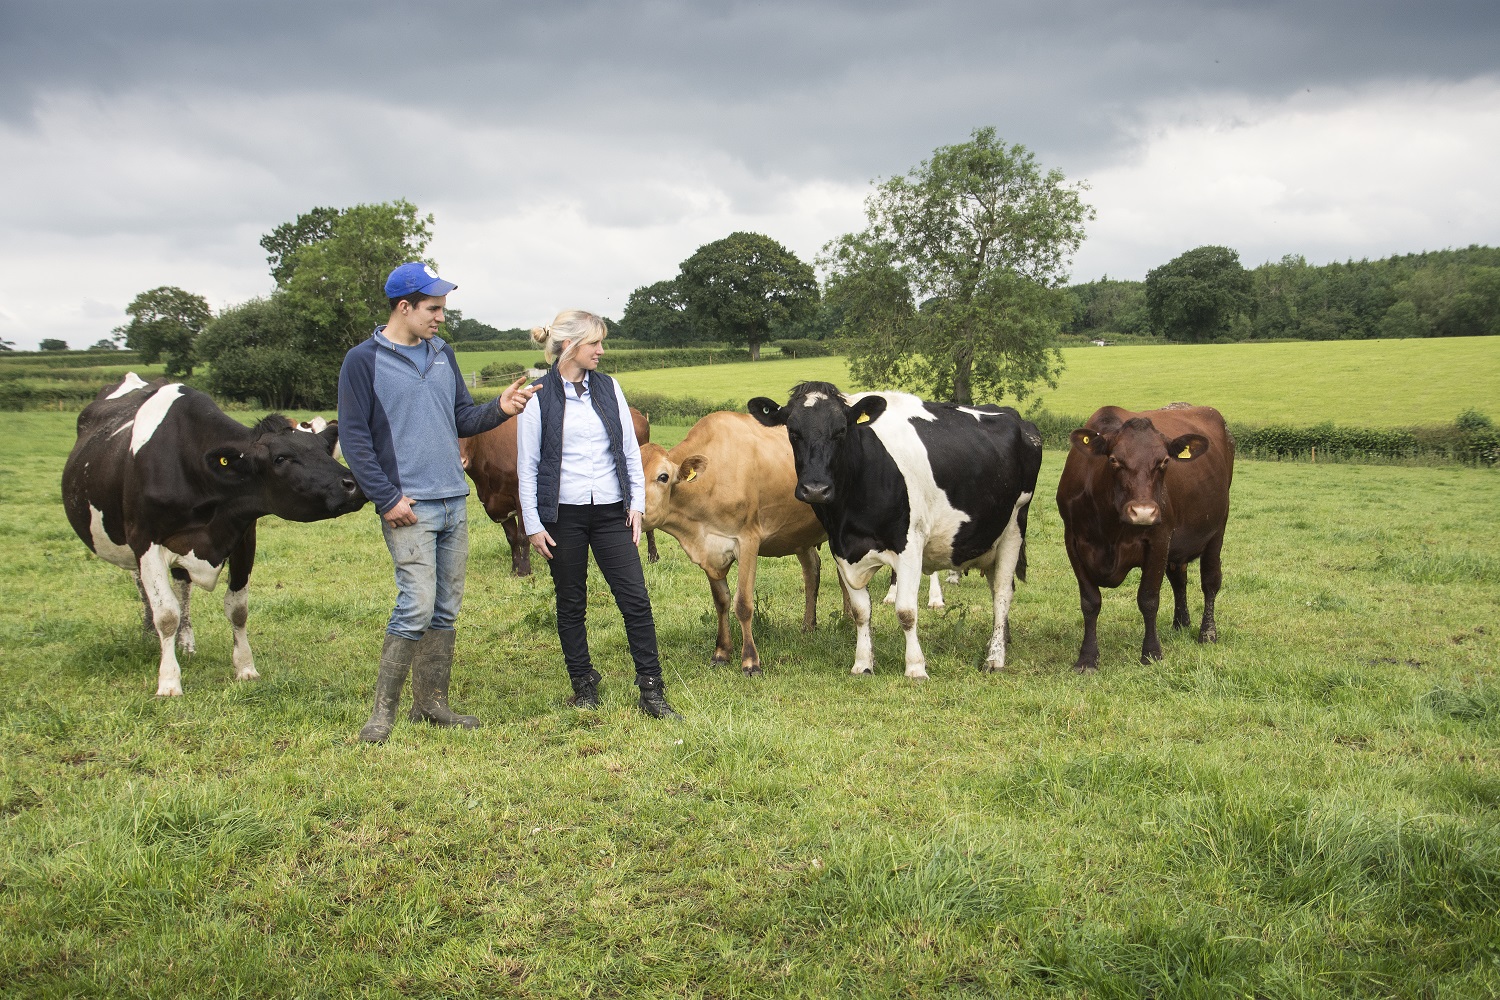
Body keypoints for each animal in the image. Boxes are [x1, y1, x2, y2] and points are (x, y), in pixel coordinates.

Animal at [60, 373, 366, 695]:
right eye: (281, 458)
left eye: (324, 449)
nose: (353, 484)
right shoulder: (145, 539)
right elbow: (165, 614)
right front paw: (168, 681)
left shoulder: (244, 536)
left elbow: (237, 609)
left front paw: (245, 668)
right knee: (143, 587)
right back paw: (149, 635)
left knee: (182, 587)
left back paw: (186, 643)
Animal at [456, 401, 657, 569]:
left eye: (471, 434)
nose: (461, 461)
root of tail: (636, 412)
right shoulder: (497, 504)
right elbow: (511, 538)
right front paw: (515, 569)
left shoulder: (521, 499)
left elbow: (522, 537)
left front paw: (524, 570)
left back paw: (652, 556)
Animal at [642, 410, 834, 677]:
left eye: (663, 477)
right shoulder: (710, 549)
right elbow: (721, 601)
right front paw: (721, 653)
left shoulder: (748, 539)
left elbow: (743, 604)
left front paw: (750, 661)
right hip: (800, 535)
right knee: (813, 572)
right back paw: (810, 625)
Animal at [750, 383, 1044, 680]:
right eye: (792, 432)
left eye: (841, 430)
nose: (815, 489)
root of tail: (1015, 417)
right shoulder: (842, 549)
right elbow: (860, 611)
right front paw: (862, 663)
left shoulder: (910, 545)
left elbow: (906, 611)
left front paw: (916, 667)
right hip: (990, 537)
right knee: (997, 590)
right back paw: (1001, 641)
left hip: (1014, 527)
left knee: (1003, 593)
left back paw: (995, 658)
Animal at [1056, 401, 1230, 671]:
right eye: (1114, 460)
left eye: (1165, 461)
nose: (1143, 512)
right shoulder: (1073, 541)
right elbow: (1090, 601)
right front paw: (1087, 658)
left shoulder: (1159, 540)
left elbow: (1148, 599)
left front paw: (1151, 653)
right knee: (1179, 579)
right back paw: (1181, 623)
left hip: (1217, 529)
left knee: (1210, 581)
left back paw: (1207, 633)